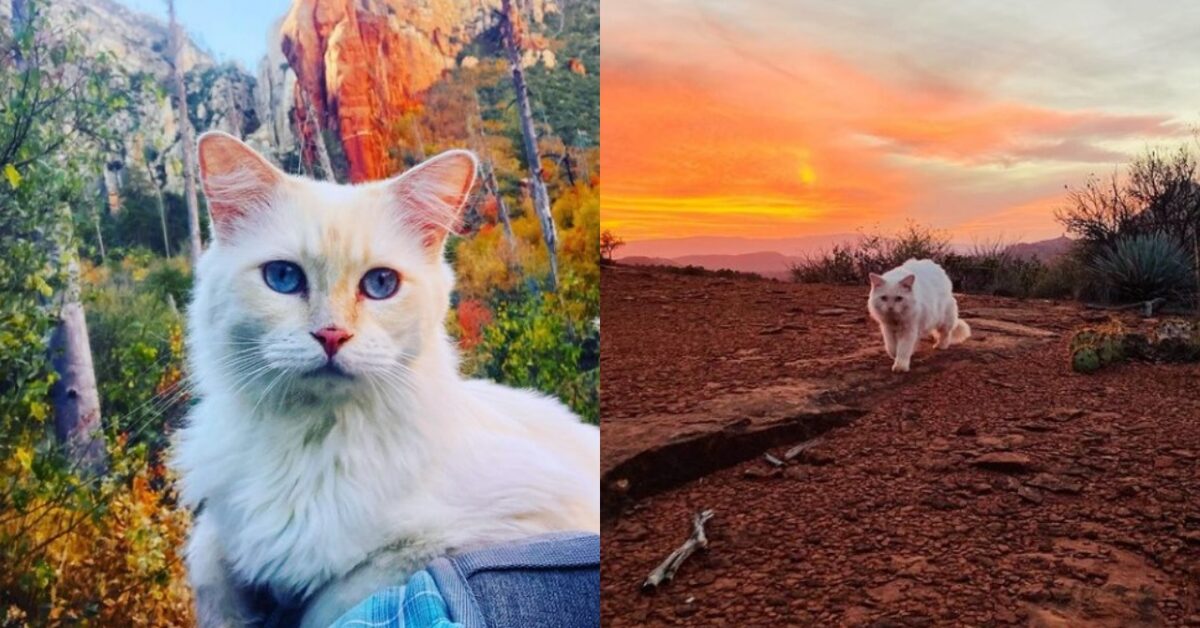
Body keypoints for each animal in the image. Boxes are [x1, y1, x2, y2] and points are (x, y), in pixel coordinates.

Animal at [169, 132, 600, 628]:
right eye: (283, 277)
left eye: (380, 284)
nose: (331, 335)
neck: (313, 441)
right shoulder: (223, 526)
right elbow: (211, 566)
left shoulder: (514, 522)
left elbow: (339, 592)